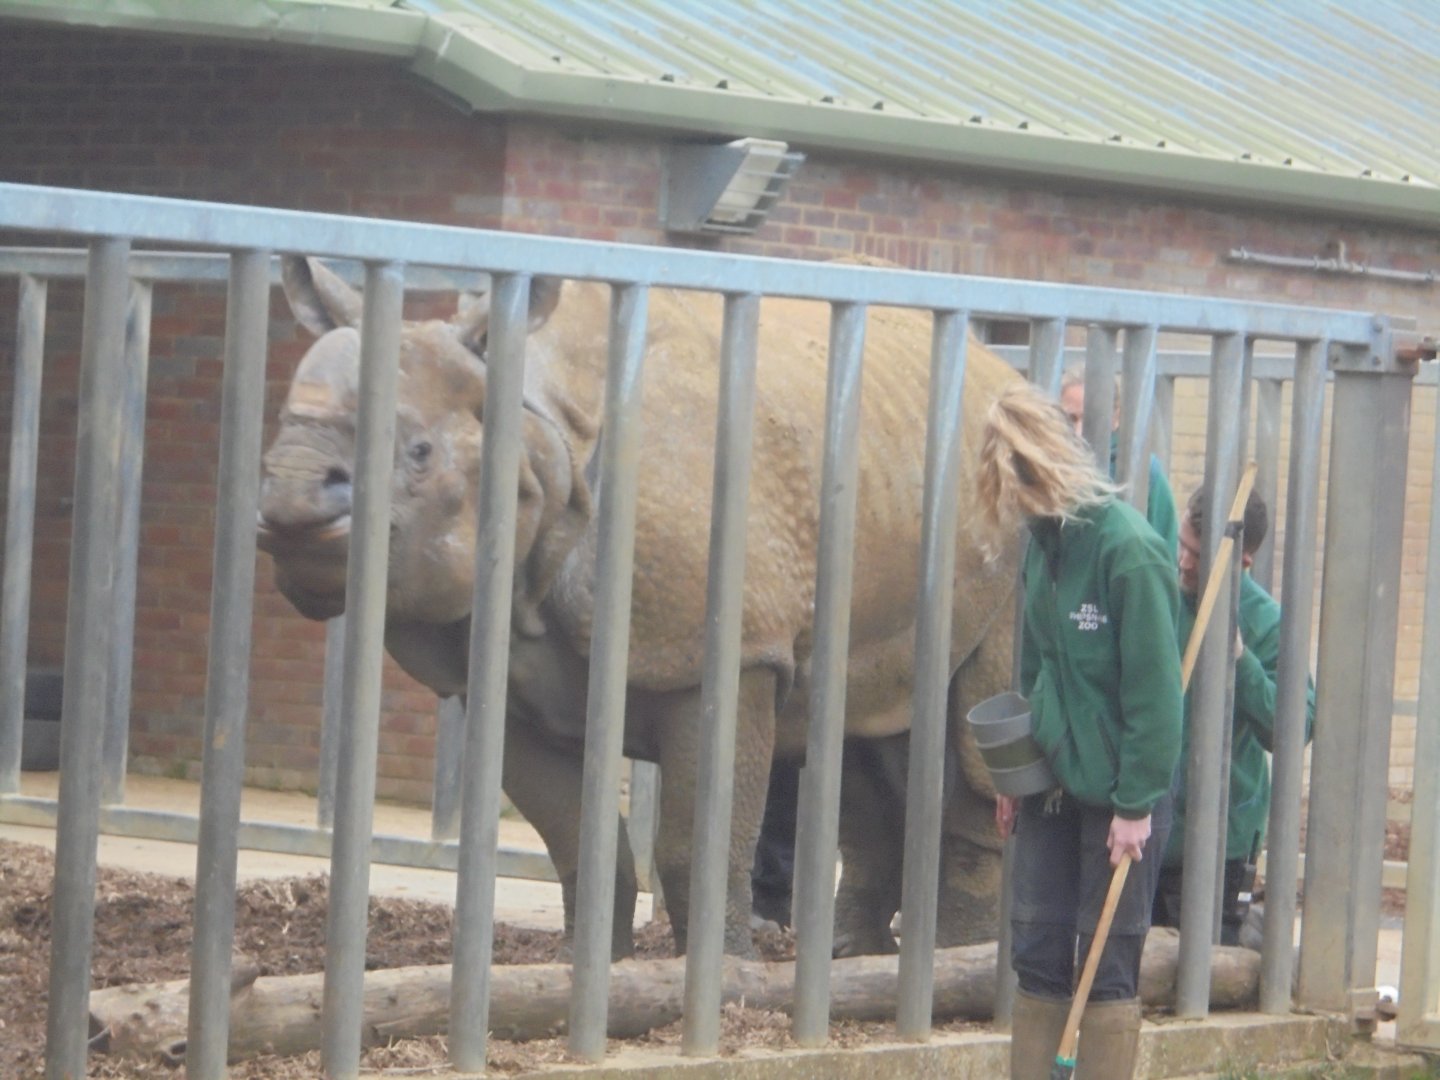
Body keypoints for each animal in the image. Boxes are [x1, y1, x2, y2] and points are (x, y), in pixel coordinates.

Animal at [256, 255, 1022, 959]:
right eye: (280, 430)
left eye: (418, 453)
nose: (289, 495)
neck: (539, 446)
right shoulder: (502, 678)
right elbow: (578, 844)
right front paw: (589, 970)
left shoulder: (725, 651)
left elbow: (695, 846)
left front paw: (723, 976)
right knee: (863, 740)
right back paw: (852, 958)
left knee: (970, 741)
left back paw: (953, 959)